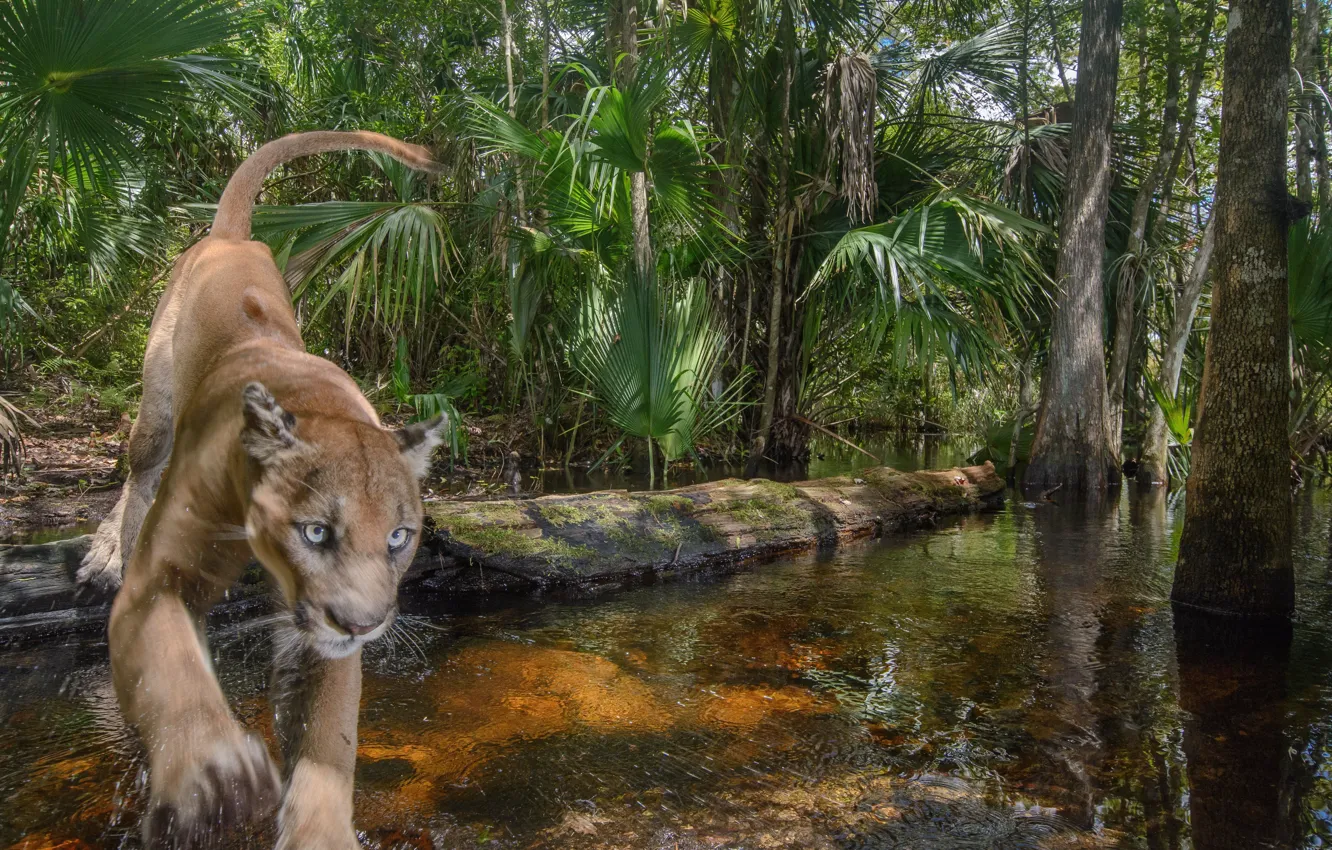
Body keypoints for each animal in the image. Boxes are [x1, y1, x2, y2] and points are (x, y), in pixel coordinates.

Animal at [80, 129, 450, 847]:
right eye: (316, 531)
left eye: (399, 537)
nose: (364, 623)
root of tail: (231, 238)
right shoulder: (160, 581)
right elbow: (175, 671)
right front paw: (212, 771)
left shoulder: (319, 638)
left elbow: (328, 743)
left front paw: (320, 832)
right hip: (156, 401)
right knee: (138, 466)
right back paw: (110, 549)